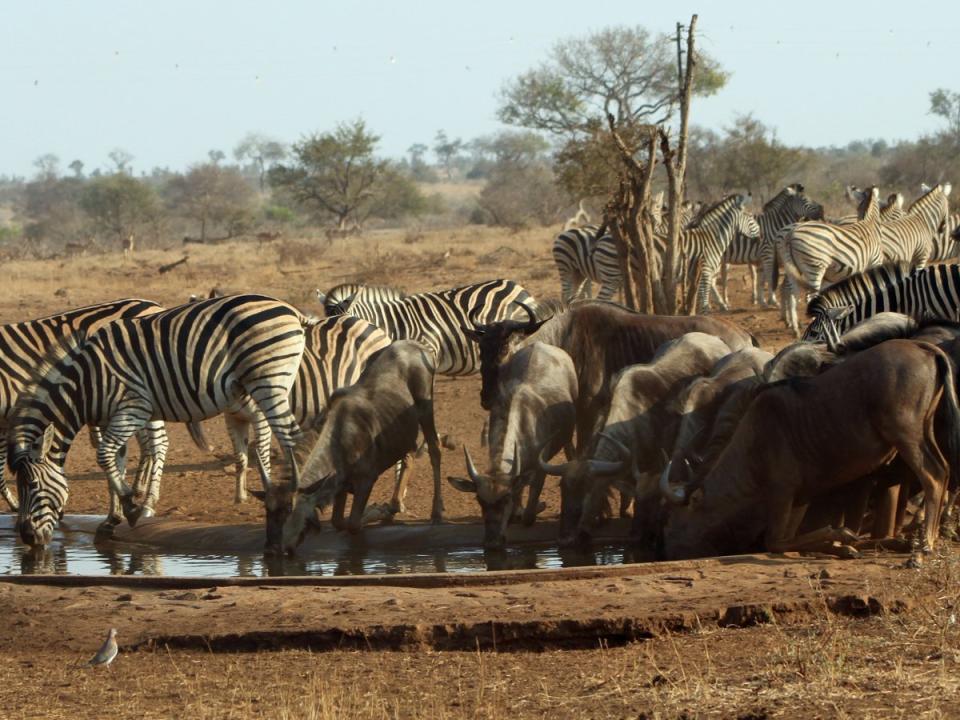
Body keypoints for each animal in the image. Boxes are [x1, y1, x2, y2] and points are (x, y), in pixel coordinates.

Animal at [776, 184, 880, 334]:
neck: (869, 223)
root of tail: (791, 233)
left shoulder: (831, 277)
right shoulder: (874, 262)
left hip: (792, 269)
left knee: (792, 294)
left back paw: (795, 328)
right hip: (814, 267)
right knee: (809, 297)